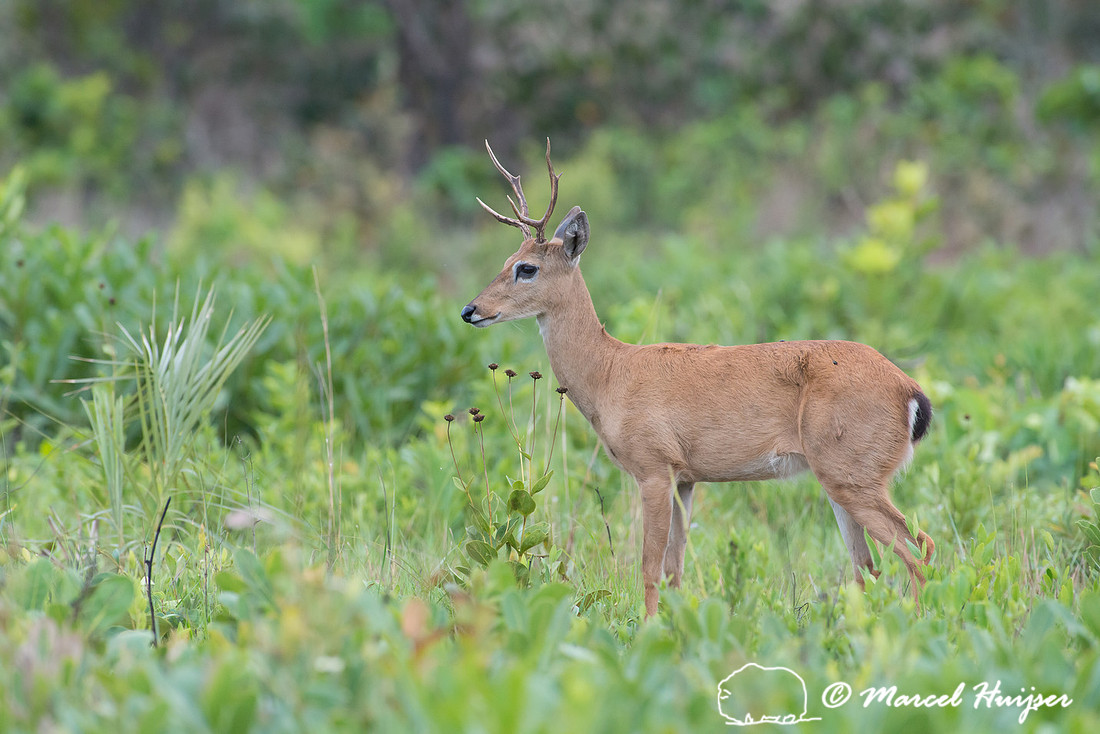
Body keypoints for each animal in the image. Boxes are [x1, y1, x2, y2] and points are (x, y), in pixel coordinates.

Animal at [460, 139, 935, 618]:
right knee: (868, 567)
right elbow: (675, 569)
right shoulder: (686, 477)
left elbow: (649, 566)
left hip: (851, 470)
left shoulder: (653, 465)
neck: (610, 373)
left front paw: (647, 630)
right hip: (840, 477)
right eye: (506, 260)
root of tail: (912, 393)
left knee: (918, 548)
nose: (470, 310)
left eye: (527, 268)